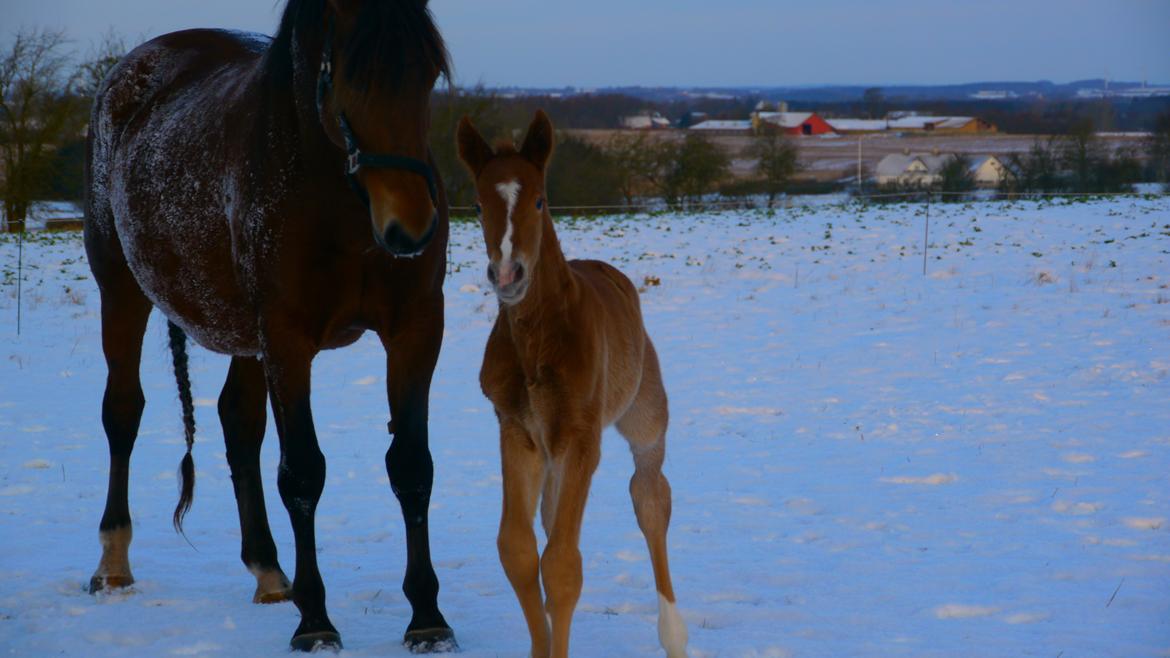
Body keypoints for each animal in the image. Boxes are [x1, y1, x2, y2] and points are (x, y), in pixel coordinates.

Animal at [82, 0, 453, 646]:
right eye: (349, 77)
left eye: (428, 73)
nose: (411, 228)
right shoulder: (286, 339)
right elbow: (302, 473)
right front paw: (316, 623)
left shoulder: (415, 329)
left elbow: (410, 465)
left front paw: (427, 619)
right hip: (123, 292)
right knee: (123, 413)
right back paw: (113, 562)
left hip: (246, 337)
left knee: (238, 423)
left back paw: (268, 570)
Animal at [453, 110, 683, 650]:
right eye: (477, 203)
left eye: (539, 199)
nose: (508, 273)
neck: (538, 340)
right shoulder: (517, 431)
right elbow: (518, 550)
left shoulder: (581, 436)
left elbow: (561, 565)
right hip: (551, 452)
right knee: (550, 512)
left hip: (644, 418)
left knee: (650, 496)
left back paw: (674, 633)